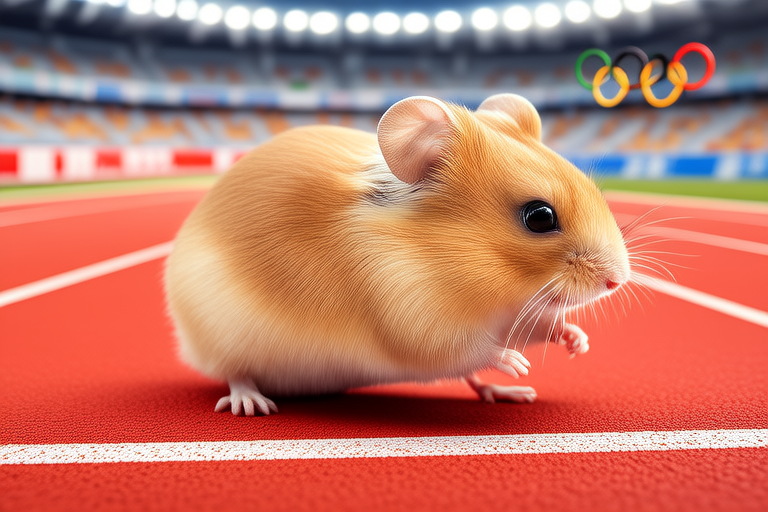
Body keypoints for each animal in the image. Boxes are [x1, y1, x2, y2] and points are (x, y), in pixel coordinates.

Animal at [164, 94, 630, 416]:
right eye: (539, 217)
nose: (617, 281)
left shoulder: (516, 314)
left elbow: (545, 326)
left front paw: (576, 343)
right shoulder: (415, 322)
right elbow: (474, 350)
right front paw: (517, 364)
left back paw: (510, 393)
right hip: (219, 336)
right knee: (235, 371)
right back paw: (252, 404)